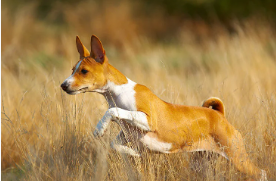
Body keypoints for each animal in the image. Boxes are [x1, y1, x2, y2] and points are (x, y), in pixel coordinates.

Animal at [61, 35, 268, 180]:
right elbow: (116, 144)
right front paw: (133, 153)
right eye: (72, 70)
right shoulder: (127, 134)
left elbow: (112, 111)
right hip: (202, 163)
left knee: (262, 174)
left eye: (84, 71)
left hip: (238, 158)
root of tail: (219, 115)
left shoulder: (148, 119)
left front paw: (100, 128)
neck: (118, 94)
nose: (63, 85)